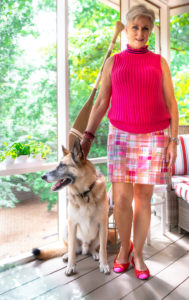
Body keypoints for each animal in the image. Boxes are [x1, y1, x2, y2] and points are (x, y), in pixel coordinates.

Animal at [31, 138, 110, 276]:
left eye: (62, 165)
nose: (43, 176)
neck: (85, 193)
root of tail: (84, 247)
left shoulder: (102, 224)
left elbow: (103, 250)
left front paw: (104, 264)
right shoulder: (72, 224)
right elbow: (72, 250)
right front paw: (71, 266)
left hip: (101, 233)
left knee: (93, 248)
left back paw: (94, 253)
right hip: (66, 228)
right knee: (73, 249)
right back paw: (67, 255)